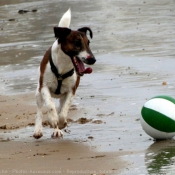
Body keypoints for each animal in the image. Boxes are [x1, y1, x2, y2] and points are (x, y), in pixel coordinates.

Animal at [32, 8, 95, 139]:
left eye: (88, 43)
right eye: (77, 43)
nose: (93, 59)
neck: (62, 67)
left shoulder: (71, 90)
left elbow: (63, 111)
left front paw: (60, 123)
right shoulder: (44, 87)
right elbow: (50, 105)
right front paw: (52, 119)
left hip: (62, 96)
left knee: (60, 108)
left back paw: (57, 130)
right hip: (38, 92)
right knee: (40, 110)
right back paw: (38, 130)